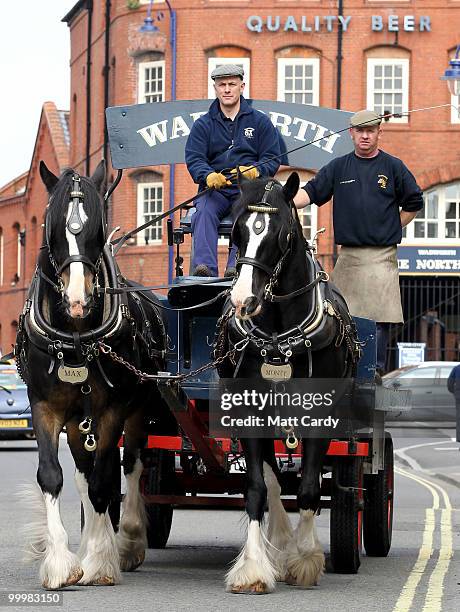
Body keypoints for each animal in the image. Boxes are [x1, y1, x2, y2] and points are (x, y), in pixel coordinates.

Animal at [16, 161, 167, 588]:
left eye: (97, 229)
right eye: (51, 225)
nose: (78, 300)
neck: (76, 336)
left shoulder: (111, 411)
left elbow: (106, 481)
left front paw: (101, 560)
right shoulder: (45, 408)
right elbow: (54, 476)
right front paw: (60, 563)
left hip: (135, 412)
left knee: (130, 466)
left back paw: (127, 540)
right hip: (76, 422)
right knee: (86, 475)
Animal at [216, 172, 360, 592]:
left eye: (280, 234)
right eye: (236, 232)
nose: (243, 301)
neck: (281, 334)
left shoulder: (320, 414)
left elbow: (309, 487)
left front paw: (305, 558)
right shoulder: (250, 410)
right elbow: (257, 489)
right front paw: (253, 567)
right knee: (274, 481)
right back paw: (277, 543)